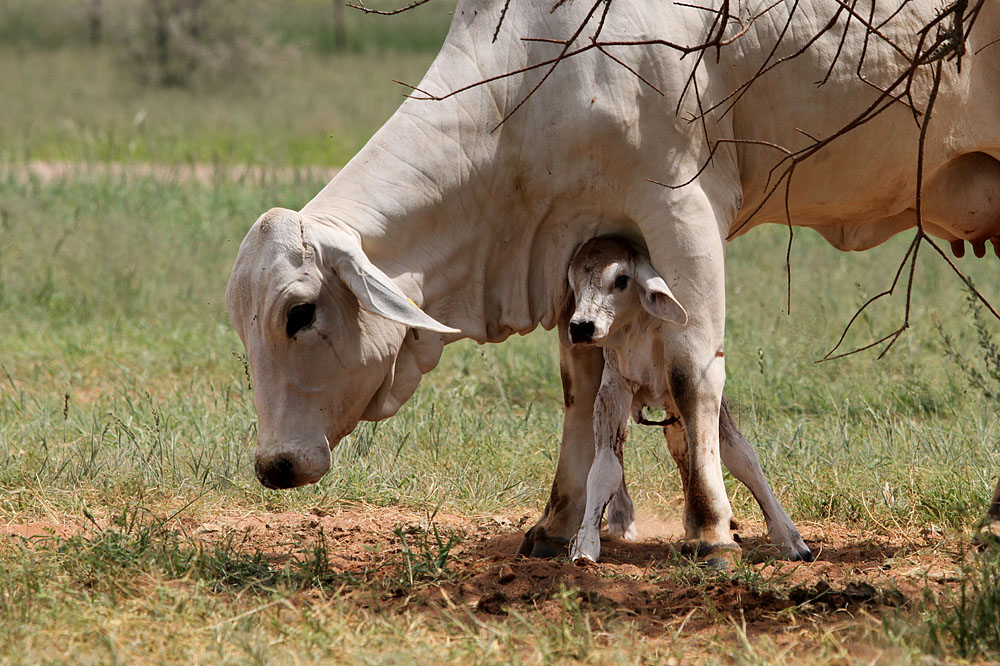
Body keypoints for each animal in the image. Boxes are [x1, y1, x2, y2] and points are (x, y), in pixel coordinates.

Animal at [564, 236, 812, 564]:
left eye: (621, 280)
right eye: (573, 281)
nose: (581, 326)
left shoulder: (701, 390)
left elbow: (741, 457)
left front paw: (791, 539)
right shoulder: (613, 389)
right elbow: (605, 466)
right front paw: (585, 545)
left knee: (686, 455)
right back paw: (622, 517)